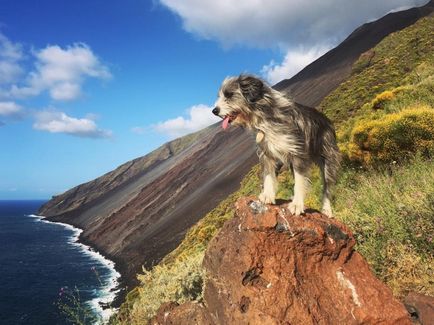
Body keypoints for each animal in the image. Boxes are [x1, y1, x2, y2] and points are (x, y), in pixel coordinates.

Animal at [212, 74, 340, 216]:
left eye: (229, 95)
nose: (214, 111)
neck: (263, 118)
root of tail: (327, 120)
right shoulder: (267, 153)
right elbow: (268, 175)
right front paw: (267, 194)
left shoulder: (297, 152)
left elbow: (300, 180)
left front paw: (297, 204)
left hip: (328, 161)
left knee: (327, 187)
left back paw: (326, 209)